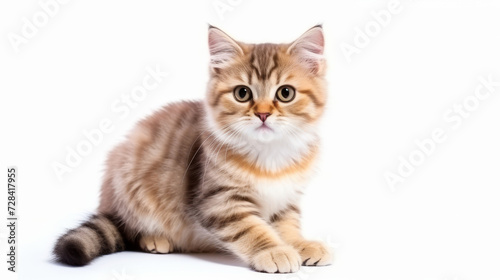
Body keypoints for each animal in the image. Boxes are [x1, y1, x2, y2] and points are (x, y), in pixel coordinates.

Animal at [53, 24, 332, 274]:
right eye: (242, 93)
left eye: (285, 93)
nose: (263, 114)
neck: (271, 156)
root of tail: (109, 204)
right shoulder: (219, 200)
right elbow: (251, 228)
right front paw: (273, 250)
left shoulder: (287, 199)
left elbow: (287, 226)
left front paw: (300, 244)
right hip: (130, 187)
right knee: (132, 231)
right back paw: (155, 239)